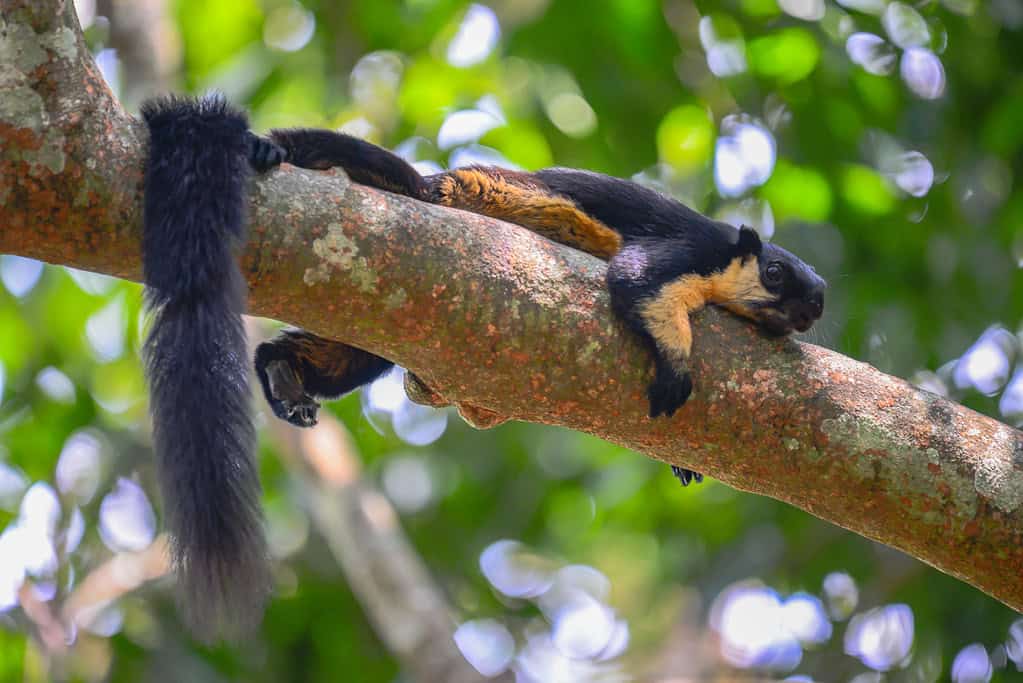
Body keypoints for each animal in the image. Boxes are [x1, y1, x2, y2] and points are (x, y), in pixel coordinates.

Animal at [140, 94, 825, 636]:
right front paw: (676, 368)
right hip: (462, 197)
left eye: (817, 300)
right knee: (400, 183)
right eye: (775, 273)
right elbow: (636, 280)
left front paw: (682, 457)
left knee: (359, 348)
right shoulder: (692, 250)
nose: (807, 308)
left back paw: (282, 371)